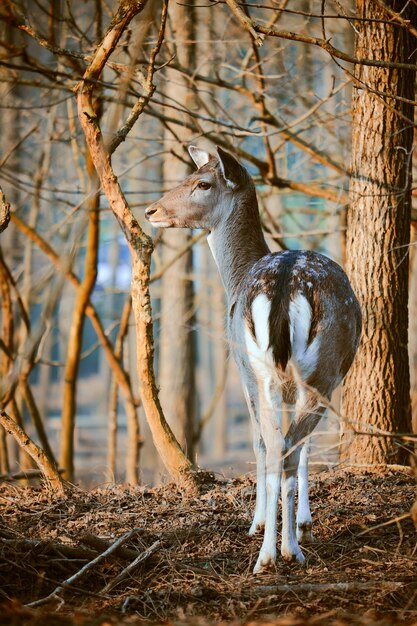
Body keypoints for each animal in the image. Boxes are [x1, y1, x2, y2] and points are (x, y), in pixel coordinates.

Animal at [144, 145, 360, 572]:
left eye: (202, 183)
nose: (151, 210)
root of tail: (285, 283)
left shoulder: (243, 371)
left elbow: (261, 443)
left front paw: (260, 523)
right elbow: (302, 447)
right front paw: (305, 525)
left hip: (274, 370)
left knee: (277, 446)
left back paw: (276, 553)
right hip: (313, 374)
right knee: (290, 445)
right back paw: (285, 549)